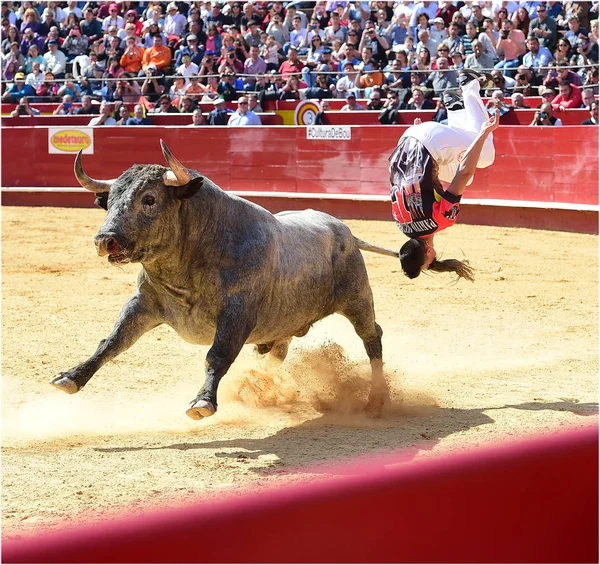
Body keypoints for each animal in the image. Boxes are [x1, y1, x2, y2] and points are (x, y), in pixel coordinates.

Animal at [51, 141, 398, 418]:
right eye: (109, 201)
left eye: (149, 199)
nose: (105, 240)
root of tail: (346, 231)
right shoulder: (143, 303)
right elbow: (112, 341)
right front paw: (71, 377)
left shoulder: (237, 314)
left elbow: (217, 355)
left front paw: (202, 402)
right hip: (287, 319)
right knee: (280, 350)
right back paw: (260, 386)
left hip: (357, 299)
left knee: (372, 337)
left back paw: (376, 400)